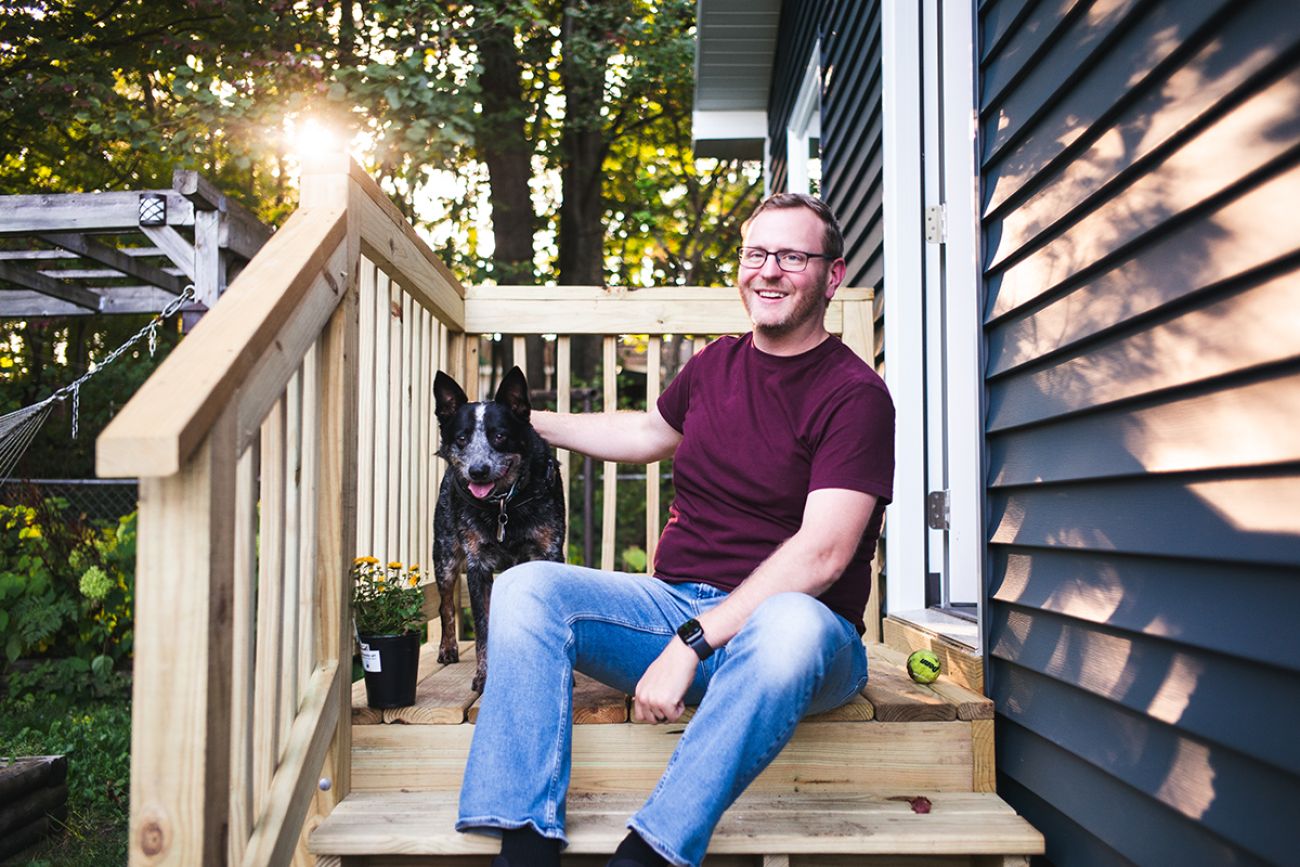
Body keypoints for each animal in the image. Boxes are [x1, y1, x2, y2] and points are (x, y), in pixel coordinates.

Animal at [434, 363, 566, 691]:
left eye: (500, 436)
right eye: (462, 439)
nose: (477, 471)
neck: (504, 505)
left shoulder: (549, 550)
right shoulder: (477, 565)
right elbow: (482, 629)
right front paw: (484, 676)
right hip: (445, 556)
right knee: (446, 604)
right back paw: (448, 648)